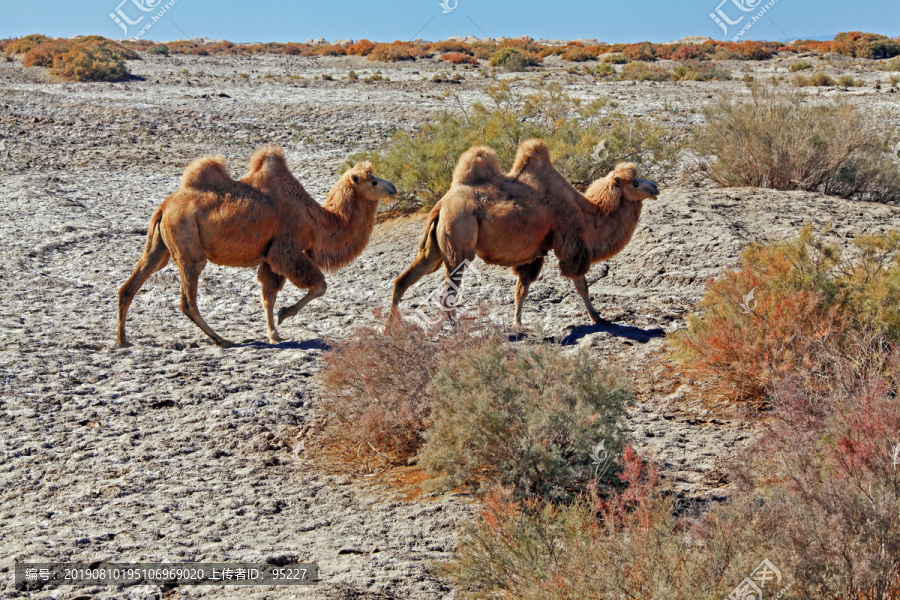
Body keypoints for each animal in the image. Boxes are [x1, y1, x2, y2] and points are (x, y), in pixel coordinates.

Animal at [118, 145, 398, 350]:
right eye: (373, 181)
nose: (393, 186)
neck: (316, 219)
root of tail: (164, 205)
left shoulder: (269, 256)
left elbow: (267, 295)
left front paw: (274, 333)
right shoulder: (286, 249)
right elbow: (319, 285)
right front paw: (284, 315)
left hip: (160, 246)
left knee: (132, 283)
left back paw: (122, 340)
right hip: (187, 242)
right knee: (188, 299)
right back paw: (222, 340)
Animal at [390, 138, 656, 326]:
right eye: (635, 183)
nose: (655, 187)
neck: (586, 212)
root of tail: (441, 204)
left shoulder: (533, 254)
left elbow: (522, 289)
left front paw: (517, 323)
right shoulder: (570, 243)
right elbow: (581, 283)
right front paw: (598, 318)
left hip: (434, 248)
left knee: (403, 279)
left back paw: (390, 326)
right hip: (459, 241)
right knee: (448, 289)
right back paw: (454, 326)